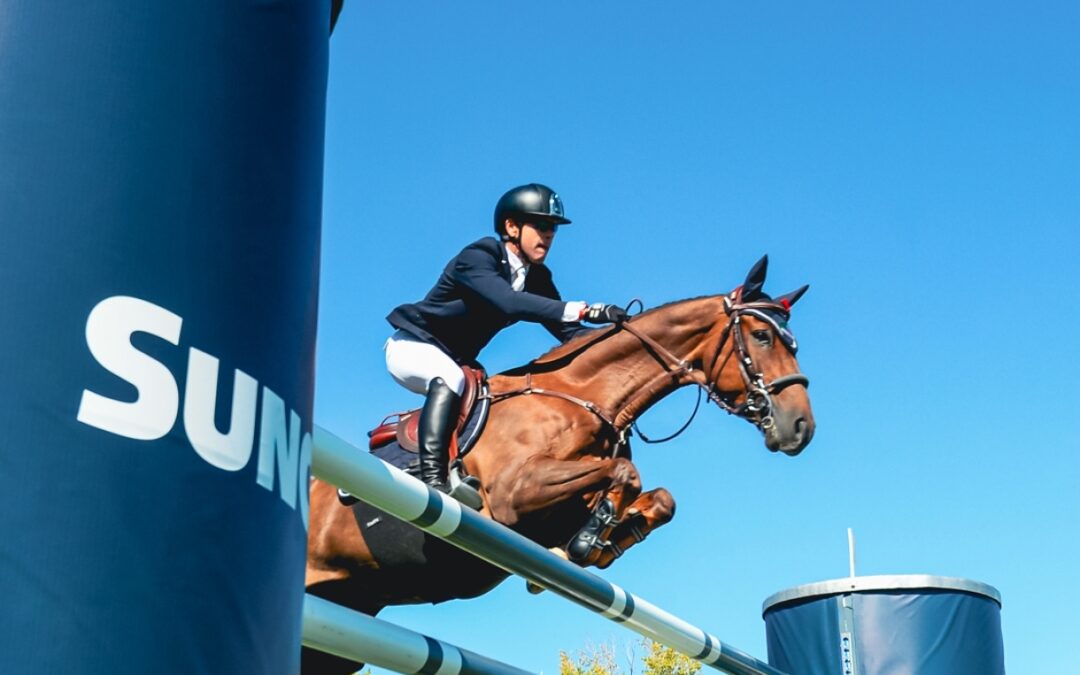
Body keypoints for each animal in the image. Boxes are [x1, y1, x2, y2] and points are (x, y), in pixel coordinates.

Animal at [300, 254, 812, 669]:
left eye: (793, 343)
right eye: (762, 336)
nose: (801, 428)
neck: (583, 396)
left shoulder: (555, 506)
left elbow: (659, 498)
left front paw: (601, 541)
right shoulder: (514, 497)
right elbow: (627, 473)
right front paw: (590, 540)